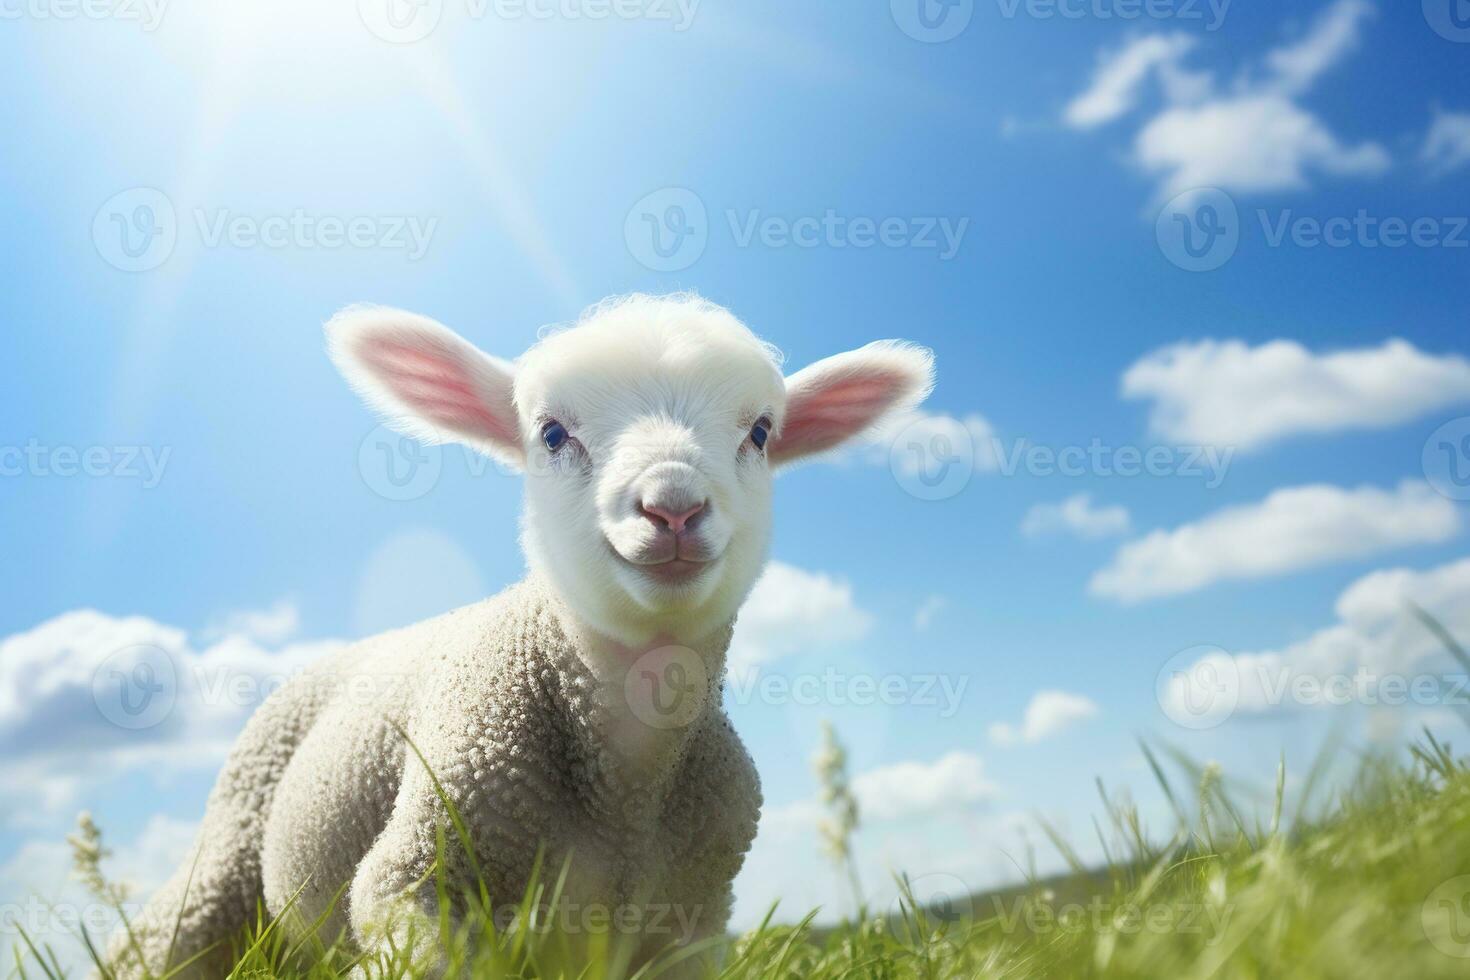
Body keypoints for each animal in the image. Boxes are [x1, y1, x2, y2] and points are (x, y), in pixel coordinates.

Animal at [106, 295, 929, 975]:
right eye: (552, 433)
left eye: (759, 433)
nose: (672, 507)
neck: (624, 796)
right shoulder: (414, 880)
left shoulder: (694, 918)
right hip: (227, 851)